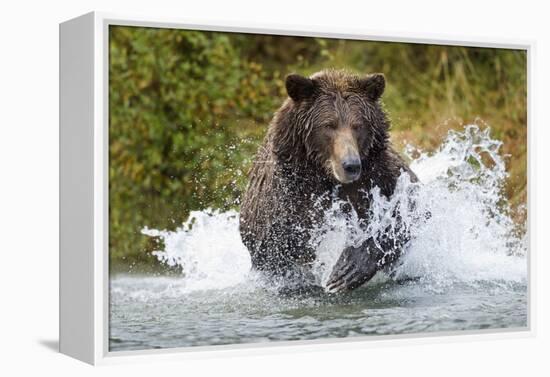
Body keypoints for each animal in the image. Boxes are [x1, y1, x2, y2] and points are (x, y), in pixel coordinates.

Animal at [240, 68, 418, 290]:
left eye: (358, 125)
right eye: (328, 125)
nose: (351, 165)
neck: (326, 176)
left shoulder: (381, 176)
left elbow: (406, 211)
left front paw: (348, 268)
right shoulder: (286, 199)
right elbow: (285, 244)